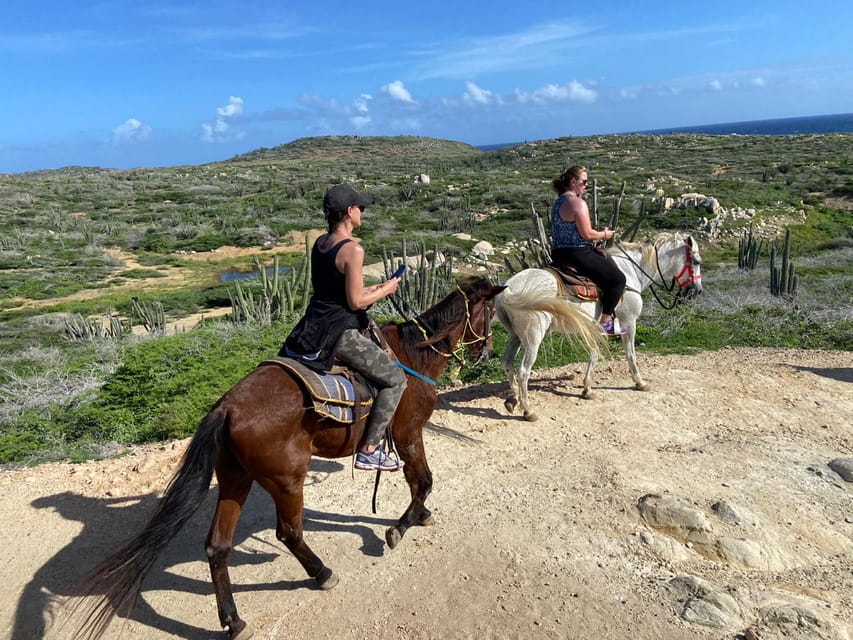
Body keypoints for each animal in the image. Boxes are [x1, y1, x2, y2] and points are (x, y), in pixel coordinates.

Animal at [68, 278, 506, 640]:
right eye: (491, 312)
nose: (486, 351)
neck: (413, 357)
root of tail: (226, 408)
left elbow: (420, 482)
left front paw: (419, 517)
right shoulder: (409, 432)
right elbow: (423, 480)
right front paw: (401, 527)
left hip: (235, 480)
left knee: (217, 547)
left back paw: (234, 620)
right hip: (287, 480)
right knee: (289, 532)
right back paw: (322, 573)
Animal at [496, 232, 704, 422]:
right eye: (696, 261)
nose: (697, 291)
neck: (632, 271)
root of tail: (508, 289)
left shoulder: (593, 327)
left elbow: (594, 353)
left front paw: (587, 389)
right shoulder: (629, 321)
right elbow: (630, 354)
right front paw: (640, 382)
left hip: (515, 335)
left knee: (507, 363)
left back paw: (512, 399)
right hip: (533, 339)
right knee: (523, 372)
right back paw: (528, 410)